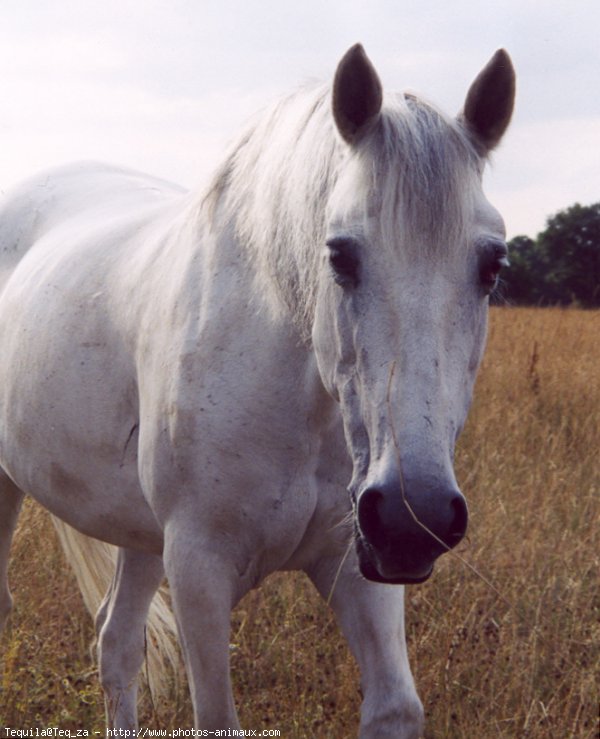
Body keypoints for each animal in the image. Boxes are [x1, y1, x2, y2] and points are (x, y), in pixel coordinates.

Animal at [0, 46, 516, 739]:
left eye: (493, 264)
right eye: (340, 254)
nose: (417, 517)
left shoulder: (358, 562)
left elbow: (395, 707)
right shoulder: (199, 569)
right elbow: (216, 713)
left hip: (143, 536)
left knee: (117, 643)